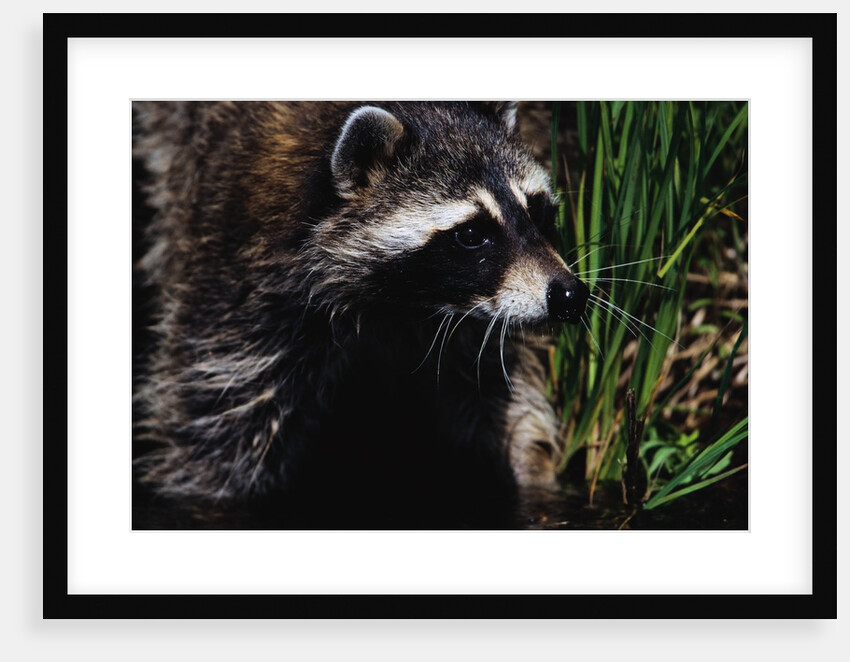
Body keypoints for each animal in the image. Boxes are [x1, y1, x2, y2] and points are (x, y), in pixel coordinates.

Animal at [132, 101, 589, 521]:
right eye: (472, 233)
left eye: (537, 211)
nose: (569, 295)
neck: (401, 302)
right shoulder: (241, 268)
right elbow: (218, 424)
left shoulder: (470, 312)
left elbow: (497, 385)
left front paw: (533, 472)